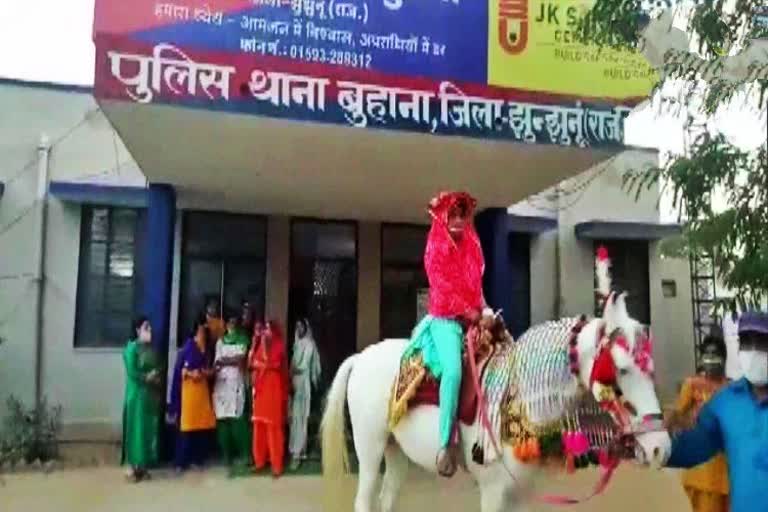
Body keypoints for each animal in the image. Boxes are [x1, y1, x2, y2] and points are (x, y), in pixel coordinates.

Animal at [322, 290, 672, 510]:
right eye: (622, 369)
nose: (660, 448)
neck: (521, 399)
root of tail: (360, 357)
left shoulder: (521, 492)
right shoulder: (493, 491)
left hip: (395, 450)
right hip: (370, 446)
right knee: (364, 499)